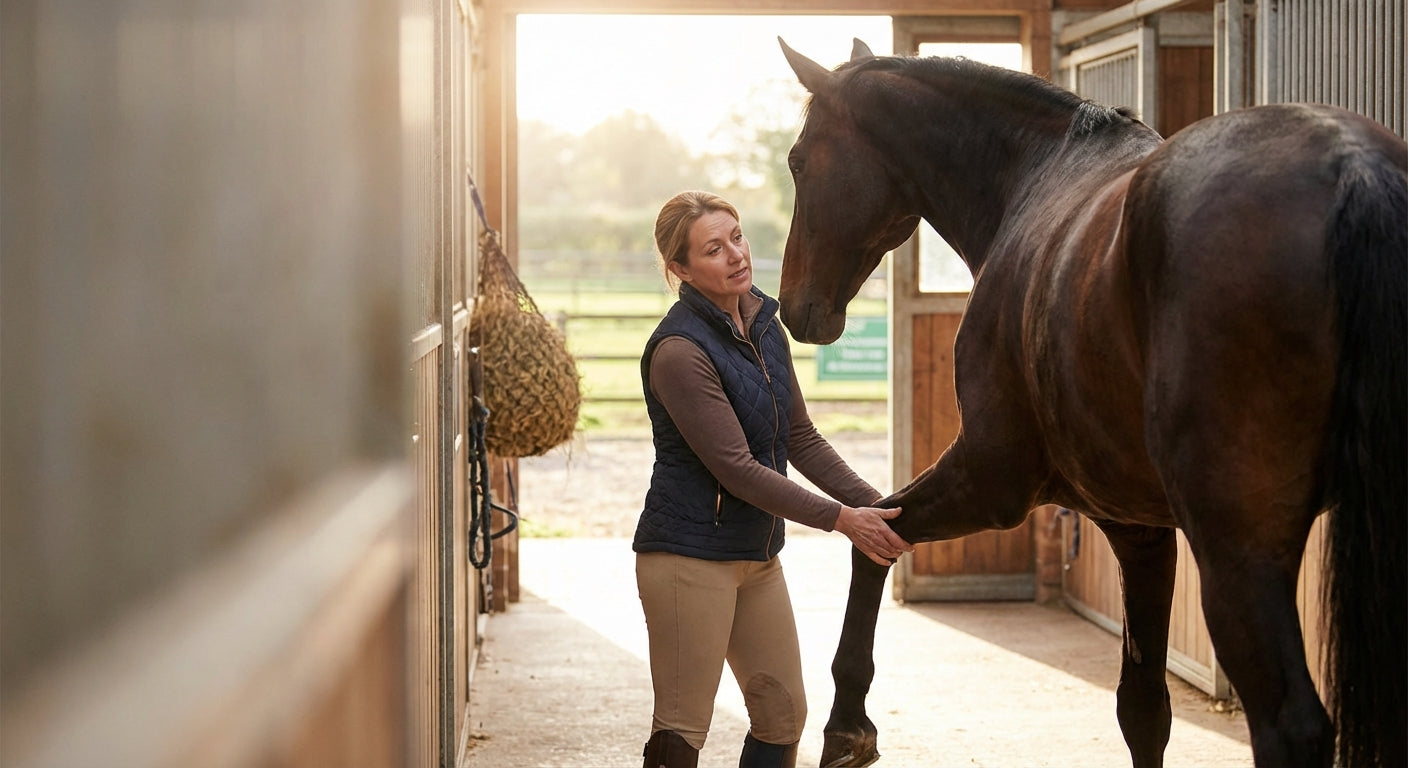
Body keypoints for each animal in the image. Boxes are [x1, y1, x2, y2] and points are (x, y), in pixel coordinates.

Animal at [776, 38, 1406, 768]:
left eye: (798, 160)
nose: (793, 308)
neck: (1034, 177)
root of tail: (1351, 165)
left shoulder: (995, 478)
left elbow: (874, 533)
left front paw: (847, 727)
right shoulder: (1141, 528)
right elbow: (1143, 710)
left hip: (1237, 547)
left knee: (1290, 726)